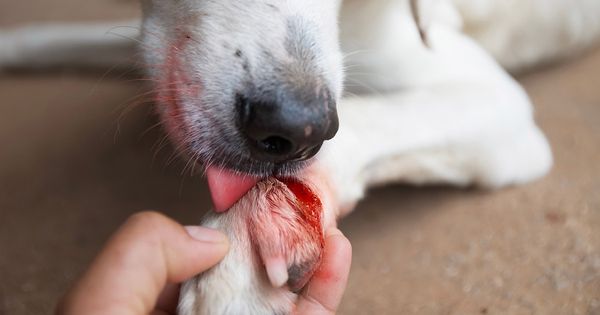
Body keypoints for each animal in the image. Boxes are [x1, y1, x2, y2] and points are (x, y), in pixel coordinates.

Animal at [2, 0, 596, 314]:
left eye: (299, 134)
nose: (294, 128)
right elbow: (55, 38)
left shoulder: (499, 104)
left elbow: (361, 121)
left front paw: (246, 247)